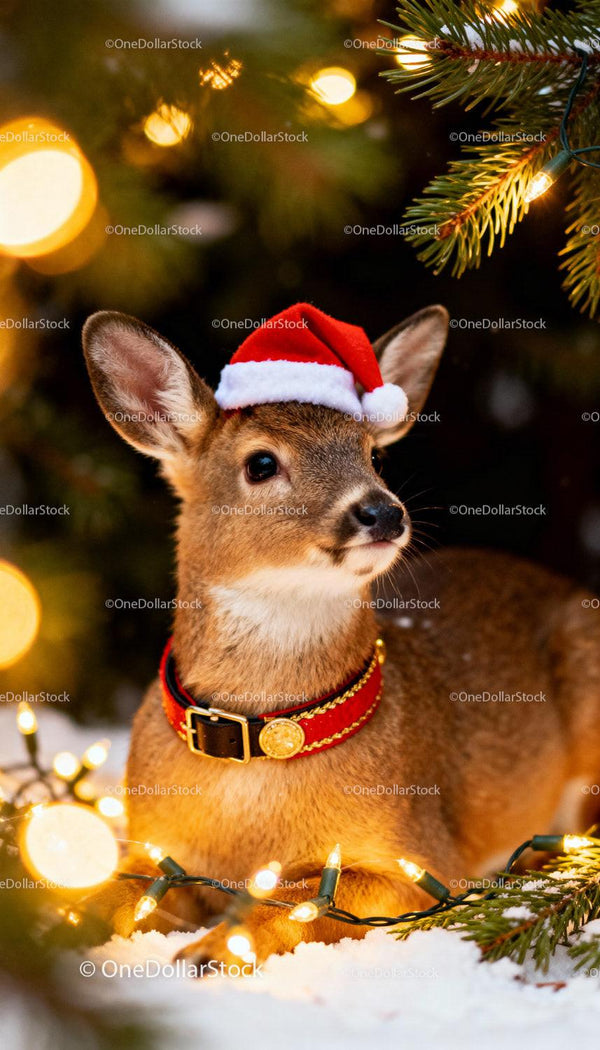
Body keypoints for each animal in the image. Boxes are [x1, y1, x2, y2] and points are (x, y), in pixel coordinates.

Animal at [82, 302, 600, 969]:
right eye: (261, 463)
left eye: (373, 456)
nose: (383, 511)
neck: (261, 749)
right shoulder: (154, 847)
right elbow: (117, 887)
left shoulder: (422, 861)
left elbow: (303, 897)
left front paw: (212, 951)